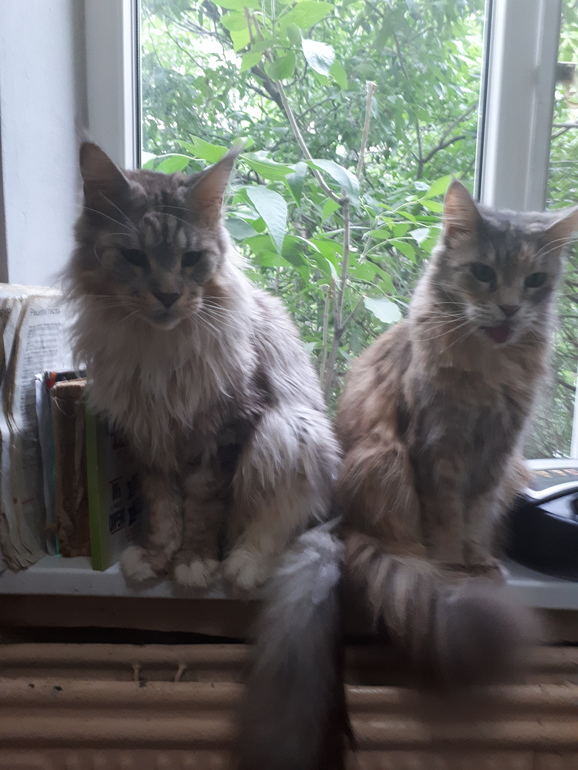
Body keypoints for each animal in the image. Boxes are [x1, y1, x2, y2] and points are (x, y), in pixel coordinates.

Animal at [63, 142, 340, 593]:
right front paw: (157, 557)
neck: (157, 351)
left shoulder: (225, 430)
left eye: (191, 259)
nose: (168, 295)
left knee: (276, 528)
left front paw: (194, 561)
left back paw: (243, 565)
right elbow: (162, 508)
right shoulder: (148, 435)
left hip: (289, 430)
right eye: (134, 256)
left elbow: (203, 509)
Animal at [337, 179, 578, 684]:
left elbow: (476, 516)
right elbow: (446, 516)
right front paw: (450, 565)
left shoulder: (498, 452)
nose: (509, 308)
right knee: (400, 540)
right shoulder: (437, 444)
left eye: (534, 281)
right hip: (380, 462)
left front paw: (477, 562)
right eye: (483, 273)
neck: (490, 370)